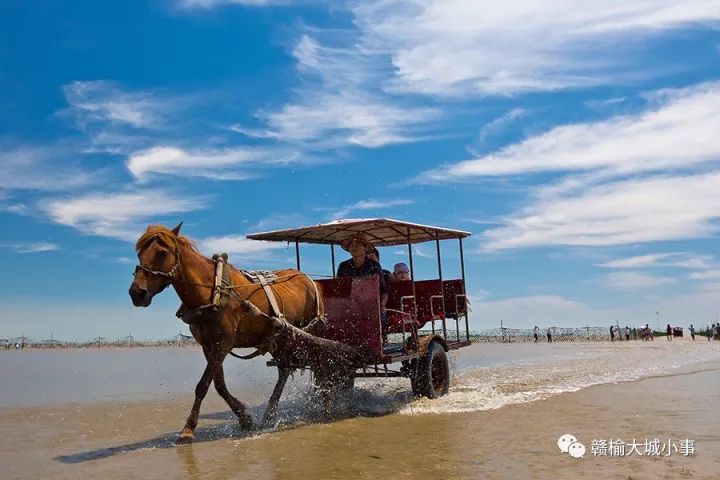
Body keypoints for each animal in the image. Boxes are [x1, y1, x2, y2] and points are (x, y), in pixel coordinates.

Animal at [128, 223, 324, 444]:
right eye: (140, 253)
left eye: (162, 252)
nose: (136, 293)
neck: (211, 291)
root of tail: (308, 279)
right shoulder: (208, 346)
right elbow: (219, 385)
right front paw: (244, 417)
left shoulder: (223, 344)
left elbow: (203, 385)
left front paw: (188, 428)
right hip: (278, 338)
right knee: (284, 370)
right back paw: (269, 414)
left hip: (310, 334)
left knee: (320, 366)